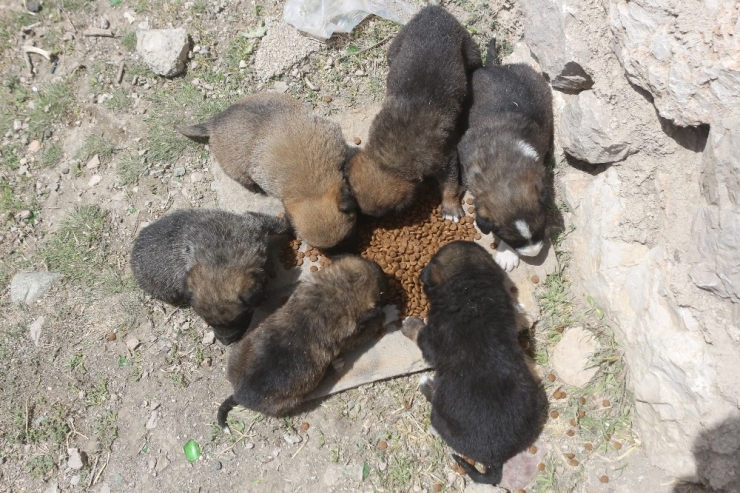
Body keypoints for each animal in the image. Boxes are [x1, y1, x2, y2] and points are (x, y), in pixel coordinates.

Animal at [130, 209, 286, 344]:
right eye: (209, 323)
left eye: (238, 320)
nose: (225, 343)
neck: (221, 257)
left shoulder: (253, 226)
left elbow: (273, 223)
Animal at [346, 5, 482, 219]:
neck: (389, 160)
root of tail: (434, 10)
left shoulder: (446, 158)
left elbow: (450, 186)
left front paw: (451, 208)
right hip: (395, 48)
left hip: (469, 49)